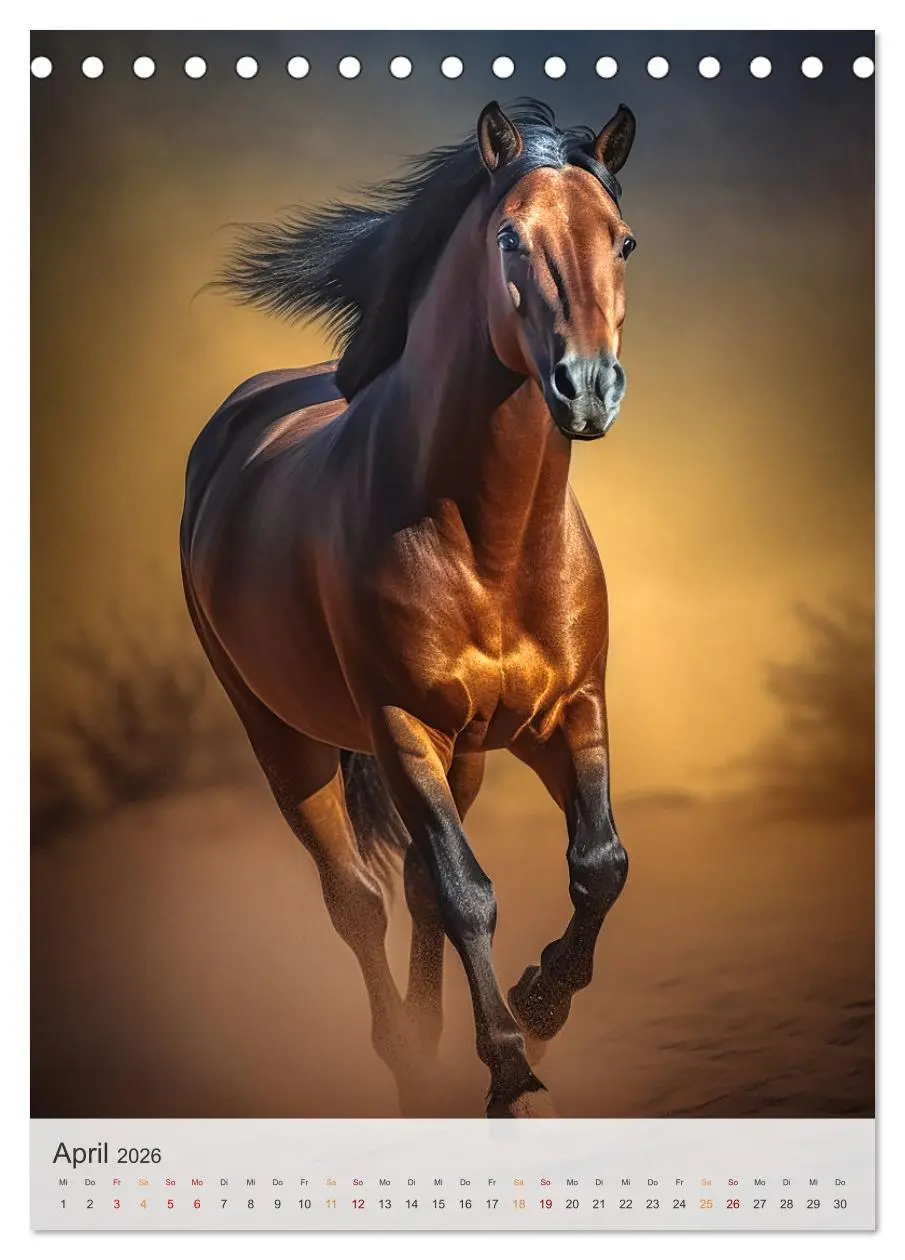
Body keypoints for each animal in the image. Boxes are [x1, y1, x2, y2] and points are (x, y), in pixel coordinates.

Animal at [181, 98, 638, 1118]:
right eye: (509, 236)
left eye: (623, 241)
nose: (587, 389)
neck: (491, 541)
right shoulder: (399, 724)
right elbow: (467, 891)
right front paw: (511, 1072)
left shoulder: (567, 711)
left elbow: (598, 864)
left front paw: (540, 1001)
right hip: (285, 738)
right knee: (357, 896)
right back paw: (406, 1058)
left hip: (463, 751)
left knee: (419, 889)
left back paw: (432, 1043)